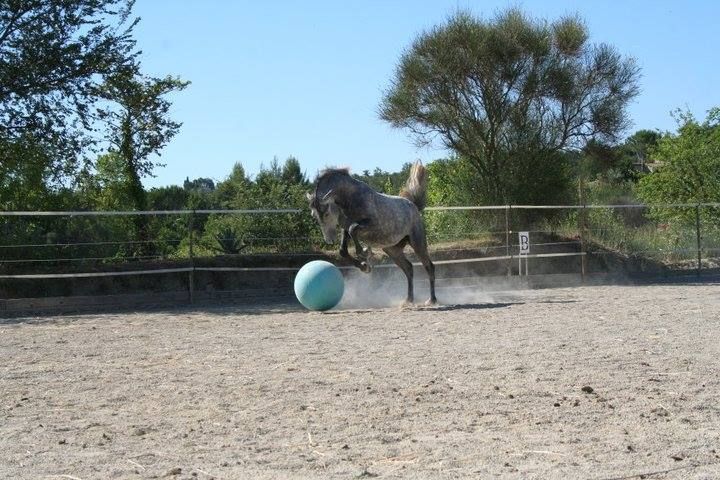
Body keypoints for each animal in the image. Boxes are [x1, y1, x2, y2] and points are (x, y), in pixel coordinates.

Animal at [306, 162, 437, 306]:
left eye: (327, 213)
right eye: (314, 215)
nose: (329, 240)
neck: (350, 199)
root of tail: (414, 206)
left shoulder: (371, 225)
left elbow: (353, 229)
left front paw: (364, 253)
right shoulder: (345, 228)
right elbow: (343, 249)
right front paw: (364, 266)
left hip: (417, 243)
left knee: (429, 267)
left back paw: (431, 300)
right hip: (392, 250)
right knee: (408, 268)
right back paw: (408, 300)